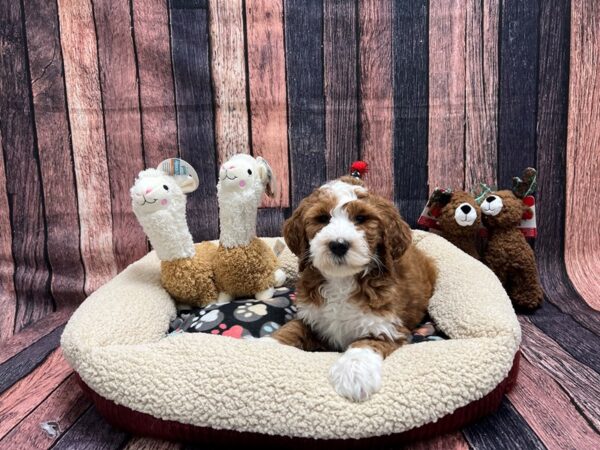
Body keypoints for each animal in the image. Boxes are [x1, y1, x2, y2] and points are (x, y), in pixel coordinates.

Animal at [272, 175, 436, 400]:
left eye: (360, 218)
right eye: (323, 218)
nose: (338, 244)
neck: (342, 280)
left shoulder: (388, 327)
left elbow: (365, 345)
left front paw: (353, 374)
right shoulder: (311, 318)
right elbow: (291, 329)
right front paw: (265, 348)